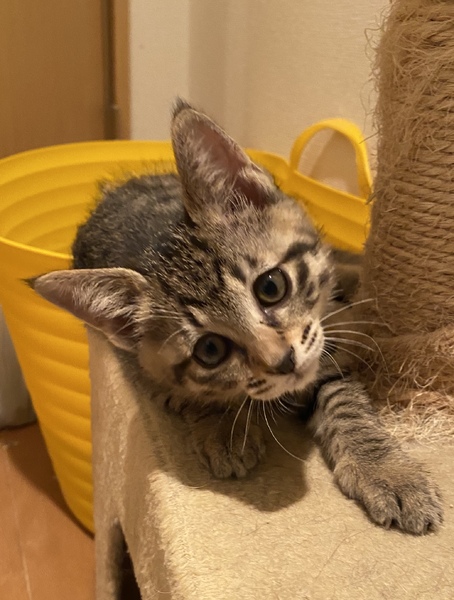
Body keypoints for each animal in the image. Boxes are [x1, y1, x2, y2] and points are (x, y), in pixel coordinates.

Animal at [31, 99, 443, 534]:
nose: (283, 362)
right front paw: (224, 425)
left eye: (271, 287)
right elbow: (195, 392)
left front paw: (389, 472)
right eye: (210, 350)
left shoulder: (325, 351)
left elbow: (347, 404)